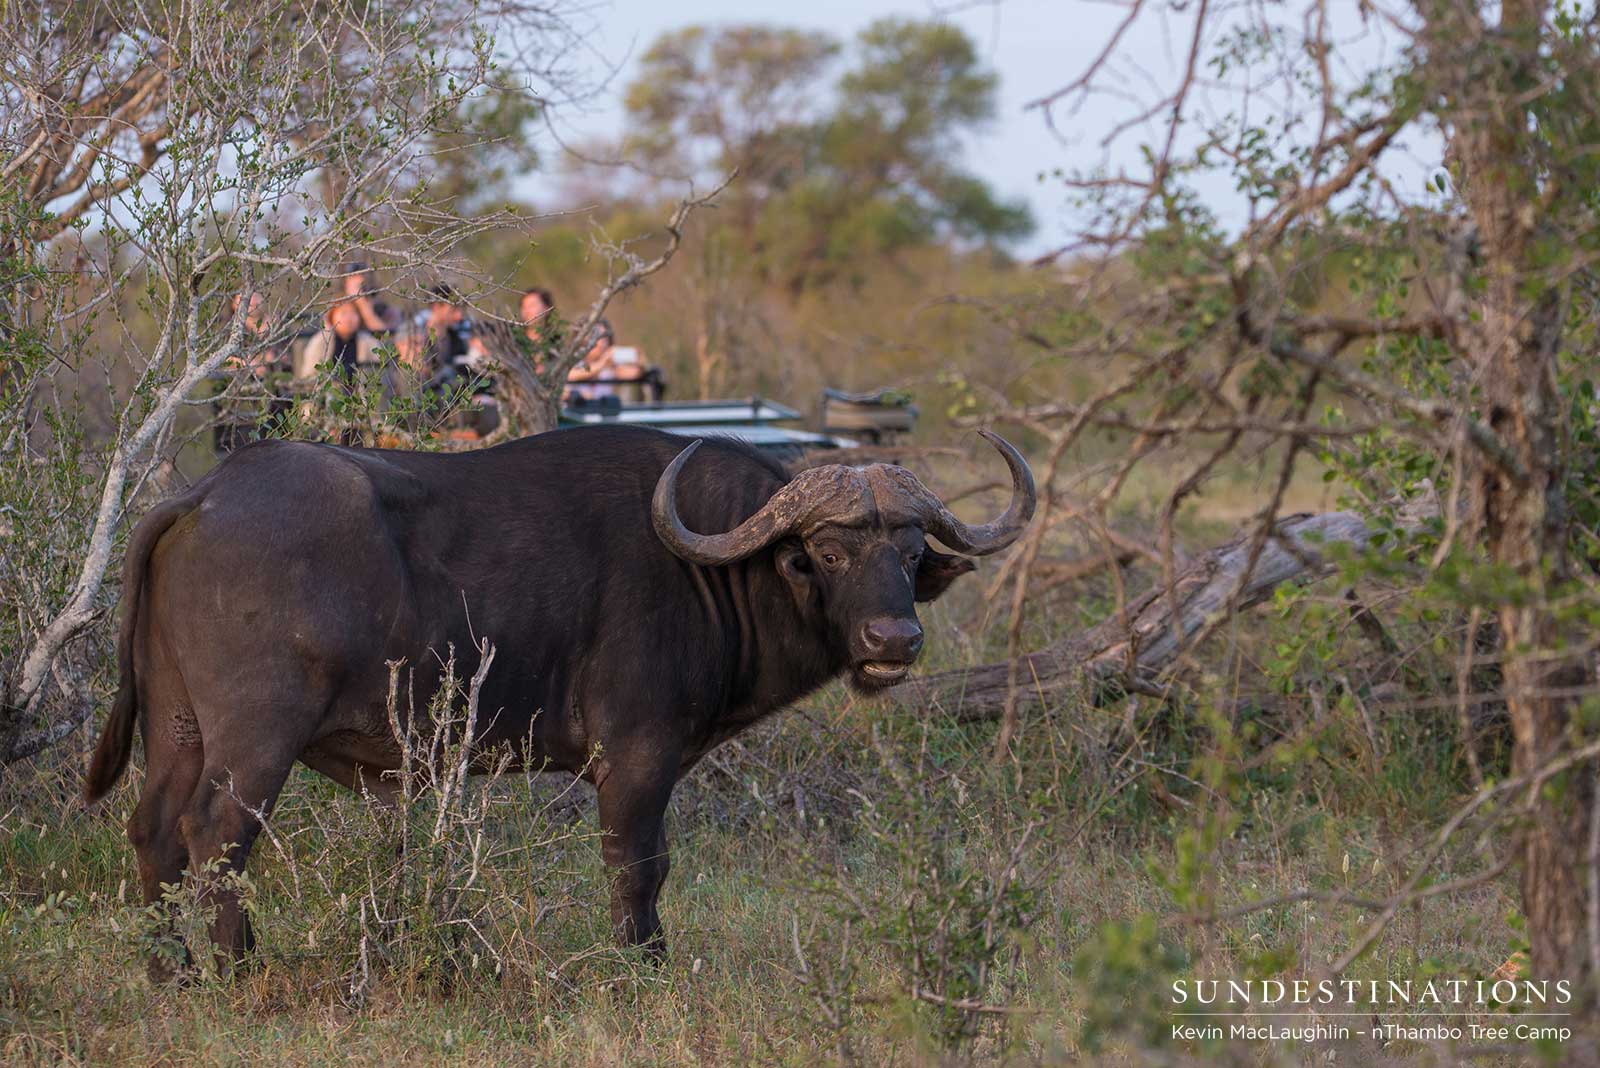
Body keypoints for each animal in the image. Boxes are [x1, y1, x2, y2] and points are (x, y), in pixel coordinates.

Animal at [83, 424, 1035, 973]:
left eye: (910, 554)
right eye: (831, 553)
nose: (893, 642)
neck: (713, 568)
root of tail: (203, 495)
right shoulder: (638, 758)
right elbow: (640, 866)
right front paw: (643, 967)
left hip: (178, 729)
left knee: (154, 832)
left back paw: (170, 971)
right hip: (257, 737)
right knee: (216, 835)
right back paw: (242, 969)